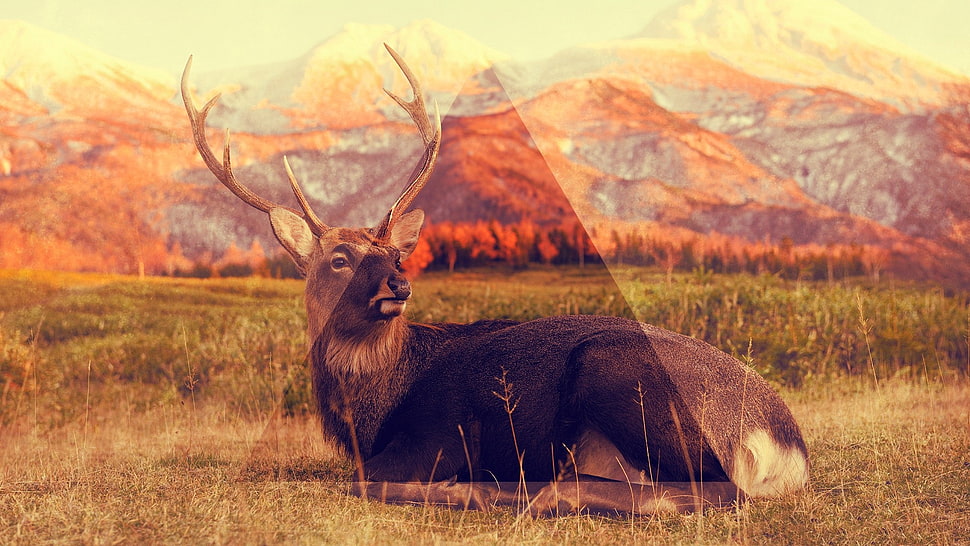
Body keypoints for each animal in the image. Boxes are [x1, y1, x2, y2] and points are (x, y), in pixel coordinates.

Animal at [180, 45, 809, 516]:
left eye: (394, 253)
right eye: (339, 258)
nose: (398, 286)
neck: (370, 411)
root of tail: (786, 445)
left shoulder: (437, 435)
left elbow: (363, 480)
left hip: (621, 375)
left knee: (711, 491)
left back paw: (515, 493)